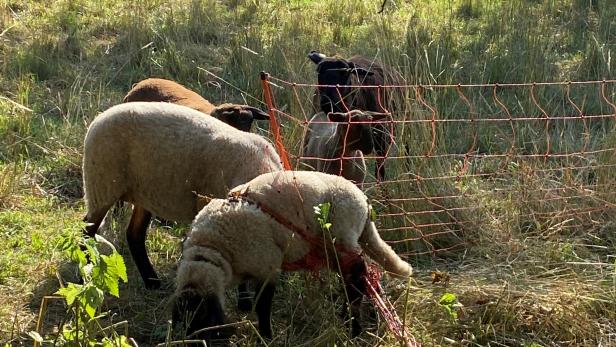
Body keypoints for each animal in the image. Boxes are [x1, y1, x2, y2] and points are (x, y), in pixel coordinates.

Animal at [82, 101, 284, 290]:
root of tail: (100, 118)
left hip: (143, 192)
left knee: (134, 234)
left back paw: (152, 281)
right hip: (102, 183)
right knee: (87, 230)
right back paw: (86, 271)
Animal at [171, 171, 412, 342]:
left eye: (201, 318)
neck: (212, 249)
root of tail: (364, 201)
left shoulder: (268, 266)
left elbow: (263, 306)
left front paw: (266, 336)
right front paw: (246, 307)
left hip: (342, 235)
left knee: (357, 276)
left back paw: (354, 327)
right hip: (332, 249)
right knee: (356, 278)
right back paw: (350, 317)